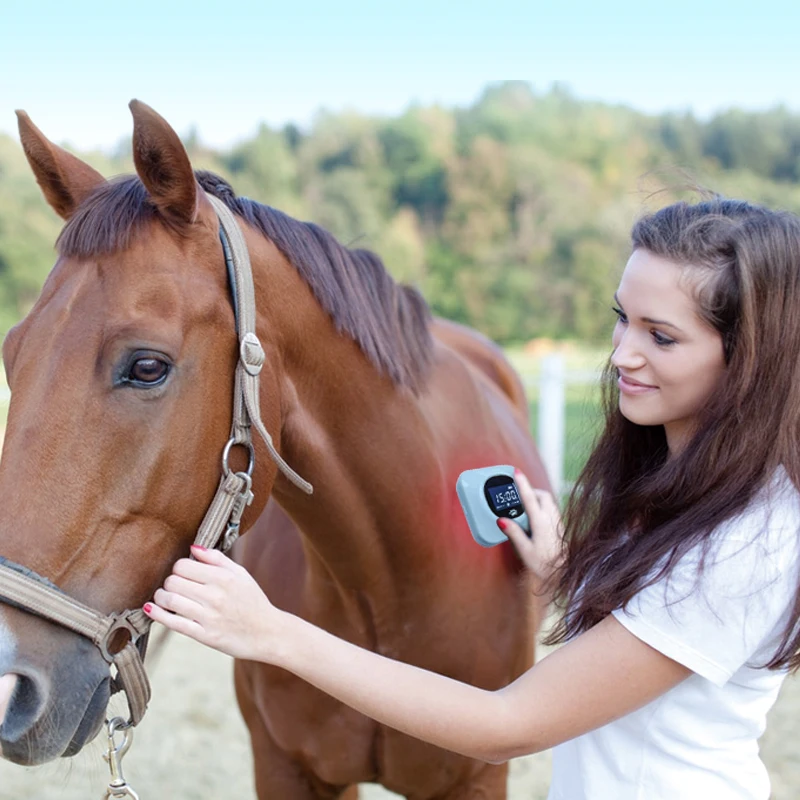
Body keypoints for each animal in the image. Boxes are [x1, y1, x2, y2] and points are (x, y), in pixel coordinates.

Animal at [0, 100, 550, 799]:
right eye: (12, 353)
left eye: (147, 366)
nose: (4, 683)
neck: (391, 585)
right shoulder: (284, 765)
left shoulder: (478, 778)